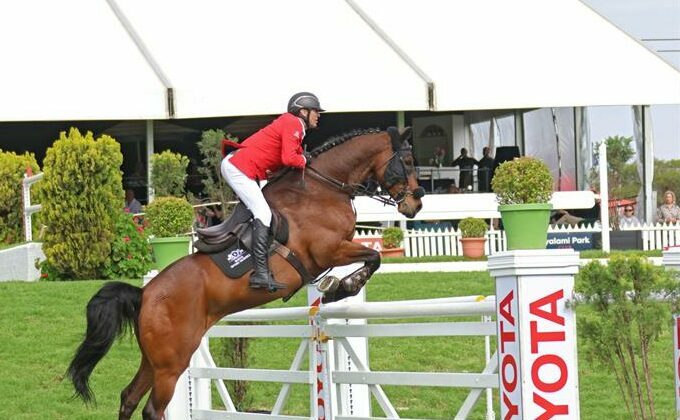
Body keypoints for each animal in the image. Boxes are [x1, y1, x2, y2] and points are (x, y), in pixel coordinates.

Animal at [66, 127, 424, 419]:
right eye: (407, 161)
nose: (415, 206)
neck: (323, 188)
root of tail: (145, 294)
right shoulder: (329, 250)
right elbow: (373, 257)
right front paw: (343, 285)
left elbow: (371, 257)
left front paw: (339, 284)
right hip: (172, 362)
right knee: (153, 409)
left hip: (154, 359)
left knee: (128, 397)